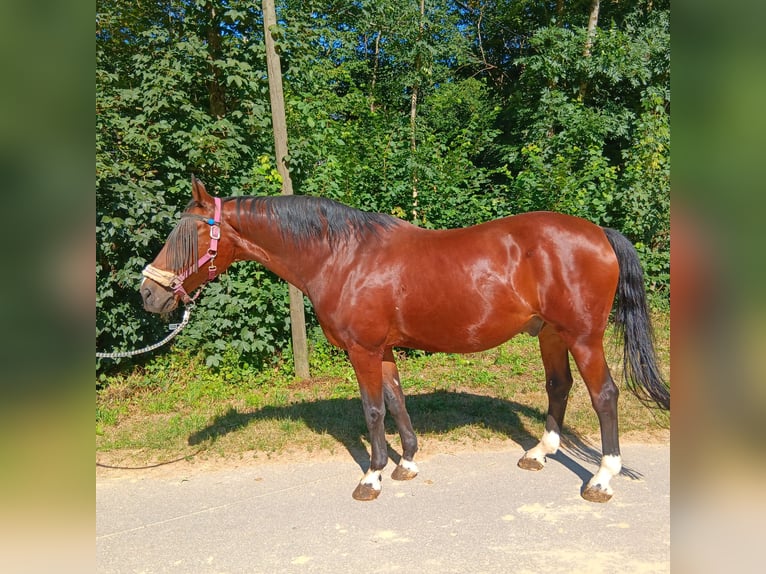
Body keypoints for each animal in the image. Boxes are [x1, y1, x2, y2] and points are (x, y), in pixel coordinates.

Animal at [141, 178, 668, 506]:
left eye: (187, 234)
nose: (147, 293)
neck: (342, 256)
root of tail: (599, 233)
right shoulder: (384, 350)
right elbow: (396, 402)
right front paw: (407, 463)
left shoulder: (362, 351)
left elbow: (373, 410)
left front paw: (372, 477)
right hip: (551, 335)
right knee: (559, 387)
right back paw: (539, 453)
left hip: (584, 337)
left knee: (604, 395)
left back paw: (602, 479)